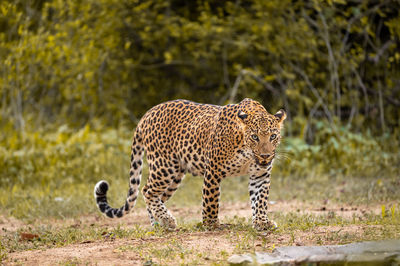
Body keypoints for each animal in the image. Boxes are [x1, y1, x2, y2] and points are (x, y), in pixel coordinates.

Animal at [94, 97, 284, 231]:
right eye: (255, 137)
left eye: (273, 136)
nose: (266, 156)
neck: (247, 152)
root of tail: (146, 115)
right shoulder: (213, 170)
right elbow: (211, 201)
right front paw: (211, 225)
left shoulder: (260, 175)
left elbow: (260, 200)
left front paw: (262, 222)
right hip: (164, 166)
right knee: (147, 190)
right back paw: (167, 220)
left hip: (175, 175)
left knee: (157, 197)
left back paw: (159, 224)